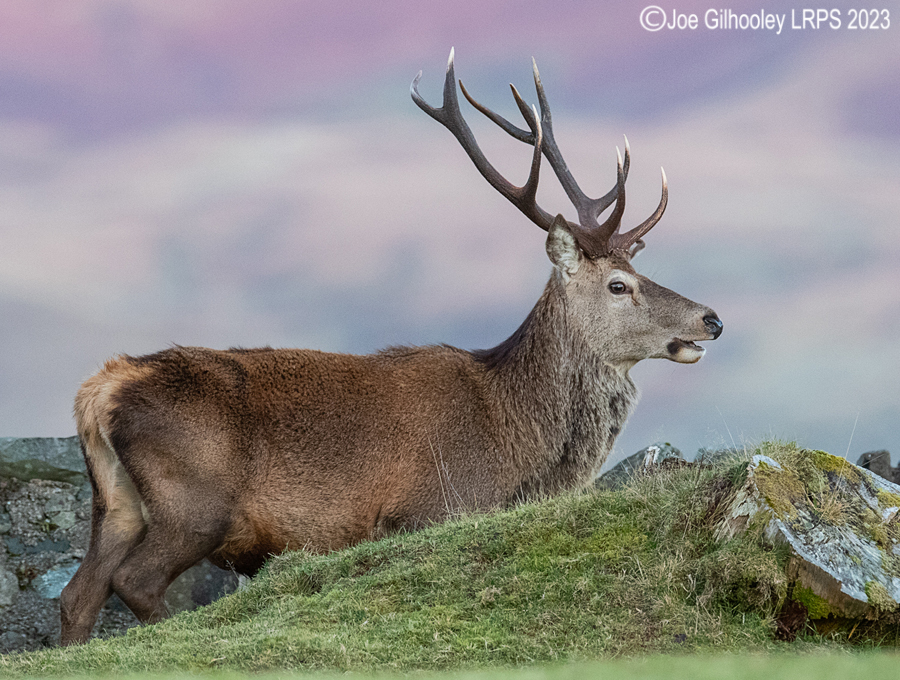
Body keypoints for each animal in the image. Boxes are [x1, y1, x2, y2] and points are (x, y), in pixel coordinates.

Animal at [59, 49, 722, 645]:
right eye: (619, 285)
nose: (712, 319)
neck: (520, 445)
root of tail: (100, 388)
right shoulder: (429, 510)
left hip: (115, 503)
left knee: (76, 595)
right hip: (193, 499)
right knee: (135, 582)